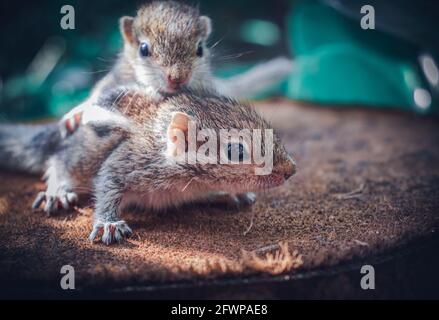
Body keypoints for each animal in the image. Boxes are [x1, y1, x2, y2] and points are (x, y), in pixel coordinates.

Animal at [0, 90, 298, 245]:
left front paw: (232, 192)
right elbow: (107, 184)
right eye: (236, 151)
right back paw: (57, 192)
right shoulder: (130, 162)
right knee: (58, 163)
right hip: (80, 157)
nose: (291, 170)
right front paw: (108, 223)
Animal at [59, 0, 292, 132]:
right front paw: (75, 114)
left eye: (200, 49)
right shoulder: (118, 78)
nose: (178, 77)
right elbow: (97, 94)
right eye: (143, 49)